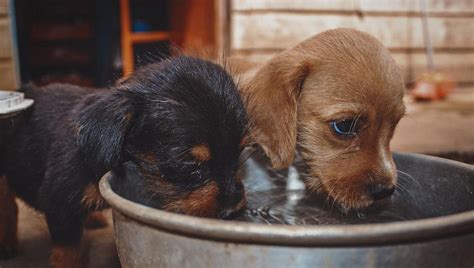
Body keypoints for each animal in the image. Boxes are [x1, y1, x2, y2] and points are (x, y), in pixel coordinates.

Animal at [0, 55, 250, 266]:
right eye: (189, 166)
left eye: (240, 154)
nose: (233, 211)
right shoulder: (60, 206)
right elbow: (69, 254)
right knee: (8, 205)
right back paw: (8, 243)